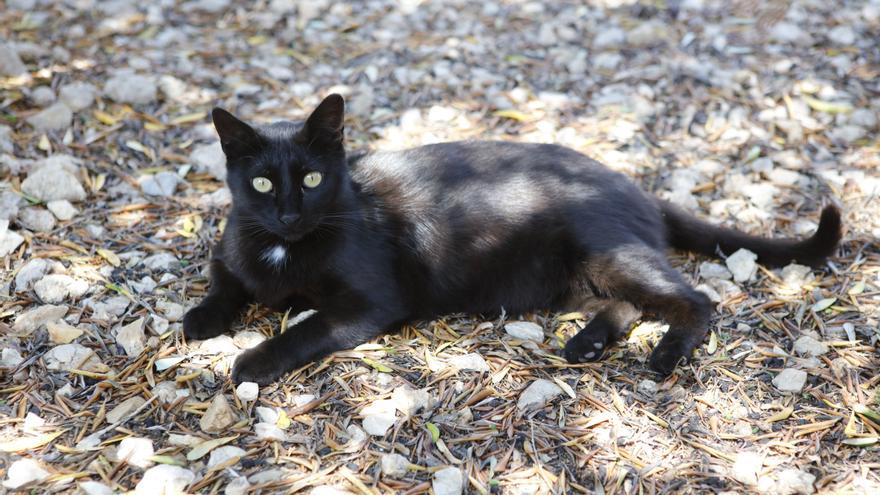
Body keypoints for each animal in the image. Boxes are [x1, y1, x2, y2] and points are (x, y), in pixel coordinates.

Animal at [182, 95, 844, 386]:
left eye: (313, 179)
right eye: (262, 183)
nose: (289, 213)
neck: (285, 250)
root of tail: (632, 185)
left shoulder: (369, 302)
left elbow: (306, 327)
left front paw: (251, 360)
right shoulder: (232, 249)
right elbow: (223, 283)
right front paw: (200, 320)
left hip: (605, 251)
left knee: (698, 301)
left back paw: (664, 355)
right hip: (568, 279)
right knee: (627, 305)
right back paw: (587, 344)